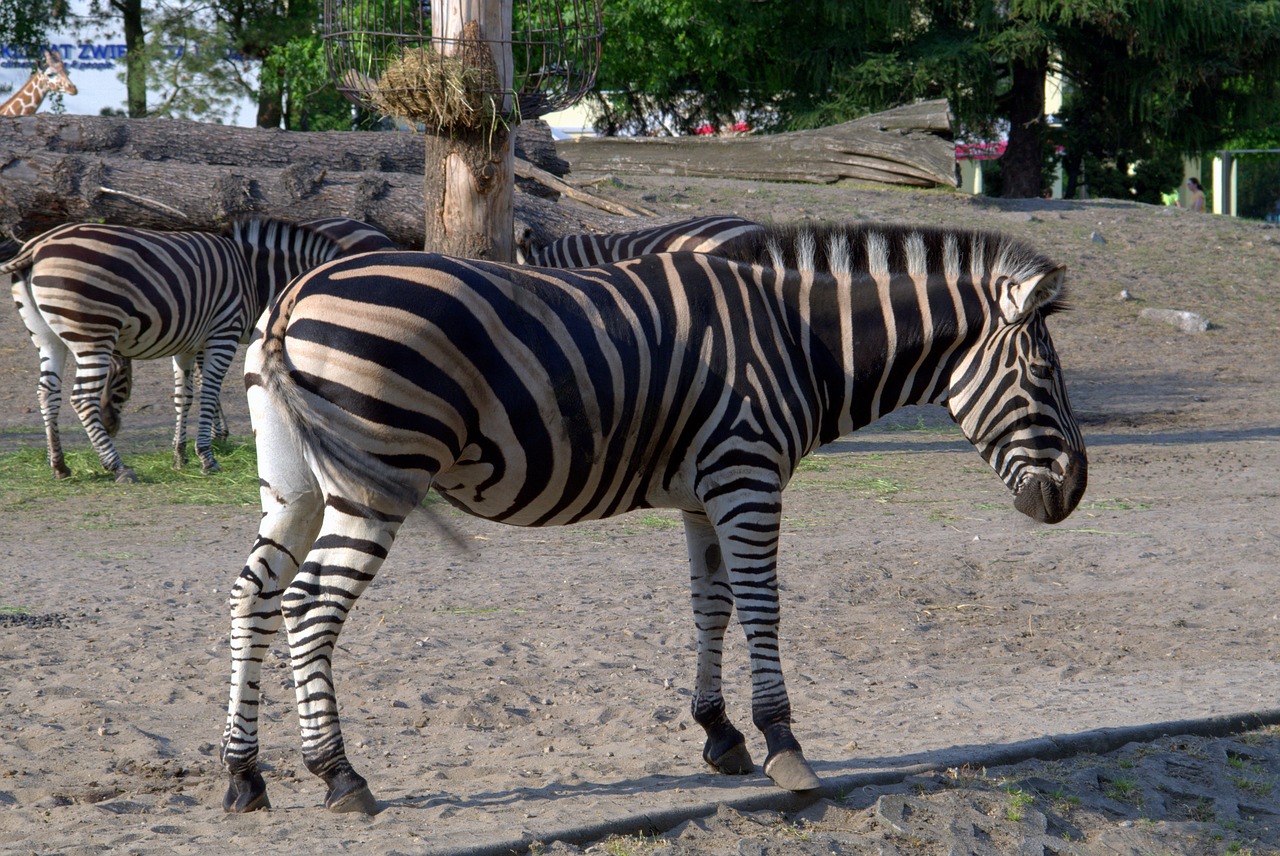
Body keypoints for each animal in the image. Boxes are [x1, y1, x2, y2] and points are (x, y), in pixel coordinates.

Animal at [6, 213, 394, 481]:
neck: (256, 276)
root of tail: (36, 246)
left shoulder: (190, 342)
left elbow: (185, 396)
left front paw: (181, 455)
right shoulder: (223, 332)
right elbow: (209, 392)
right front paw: (207, 456)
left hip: (48, 336)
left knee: (47, 393)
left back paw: (60, 465)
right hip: (94, 332)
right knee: (81, 398)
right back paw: (117, 467)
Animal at [222, 220, 1090, 813]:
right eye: (1043, 374)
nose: (1074, 494)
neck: (798, 340)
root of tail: (294, 294)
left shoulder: (707, 494)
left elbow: (712, 606)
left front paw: (721, 734)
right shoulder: (747, 475)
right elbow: (763, 608)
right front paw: (784, 746)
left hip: (296, 486)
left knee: (254, 596)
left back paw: (244, 774)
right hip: (378, 477)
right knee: (310, 605)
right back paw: (339, 776)